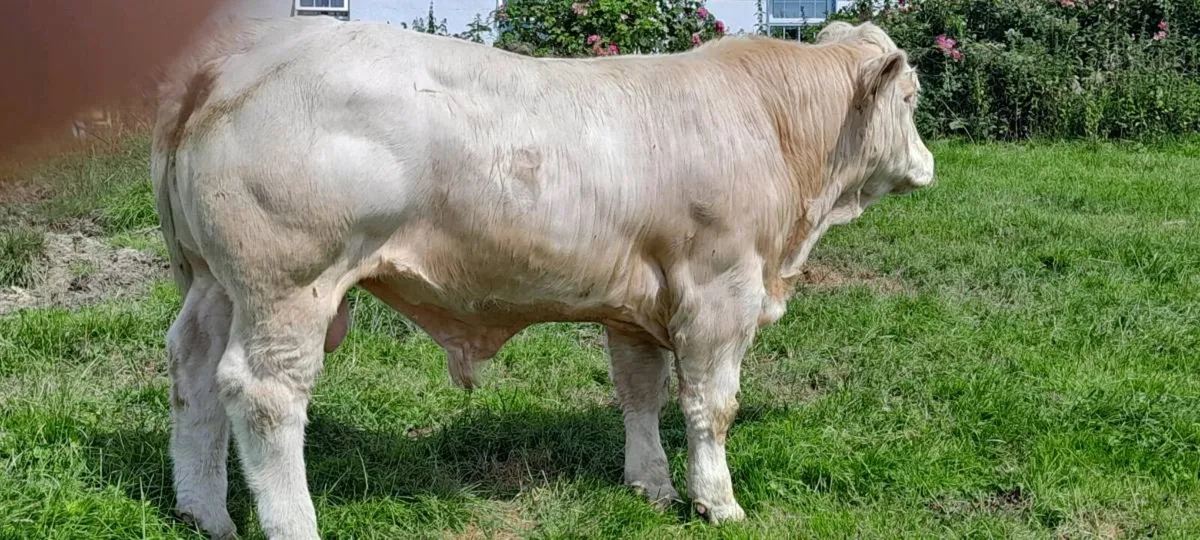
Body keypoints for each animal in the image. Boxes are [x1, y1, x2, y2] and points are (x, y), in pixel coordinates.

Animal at [151, 15, 934, 539]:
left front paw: (649, 486)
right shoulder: (719, 294)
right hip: (287, 284)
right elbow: (712, 406)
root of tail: (233, 64)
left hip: (214, 282)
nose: (928, 164)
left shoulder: (636, 304)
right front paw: (718, 501)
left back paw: (204, 511)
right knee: (263, 394)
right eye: (912, 100)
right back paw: (292, 523)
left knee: (194, 372)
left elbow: (639, 393)